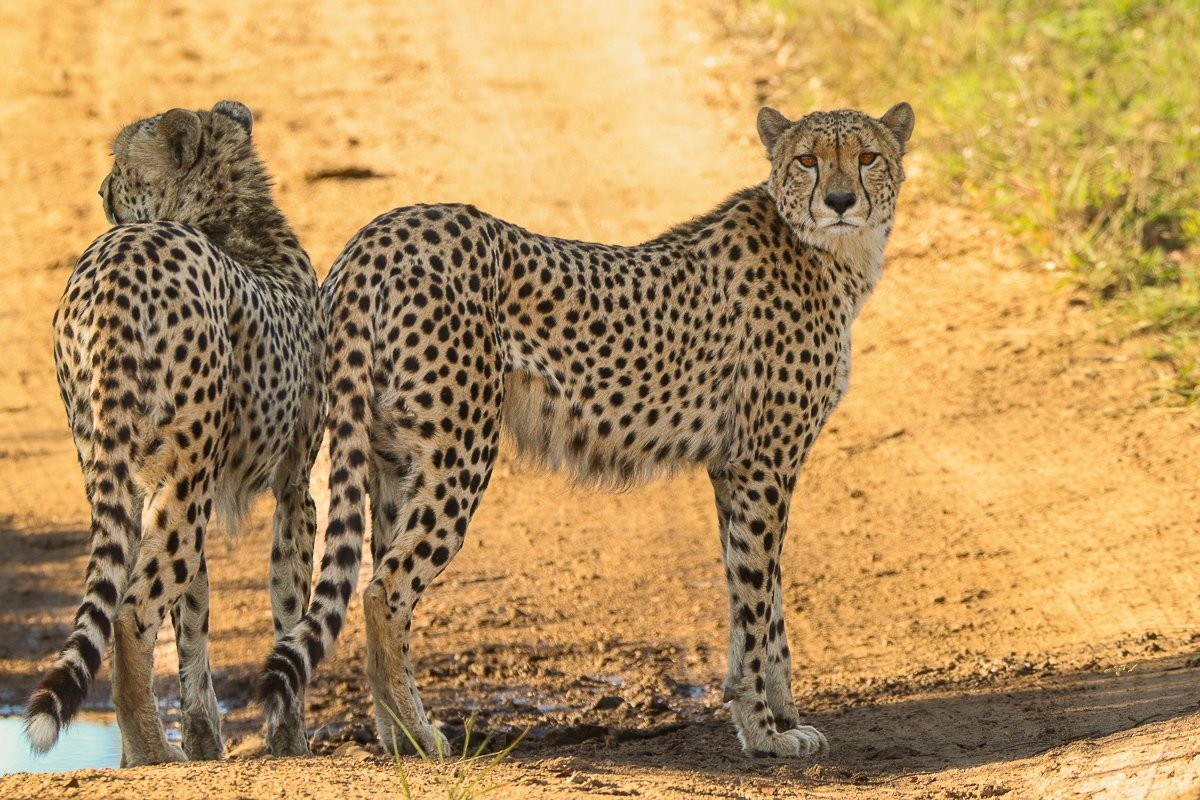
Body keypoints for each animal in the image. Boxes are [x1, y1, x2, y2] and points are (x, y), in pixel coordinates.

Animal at [24, 100, 326, 766]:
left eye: (120, 163)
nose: (101, 189)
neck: (225, 218)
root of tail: (119, 259)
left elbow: (194, 620)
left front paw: (206, 738)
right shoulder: (293, 486)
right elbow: (287, 601)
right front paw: (289, 738)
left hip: (115, 465)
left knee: (123, 594)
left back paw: (140, 750)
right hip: (185, 479)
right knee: (132, 611)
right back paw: (149, 753)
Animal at [260, 102, 914, 757]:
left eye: (867, 157)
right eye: (807, 159)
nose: (838, 200)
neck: (831, 252)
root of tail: (384, 230)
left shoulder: (735, 470)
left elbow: (759, 598)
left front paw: (781, 715)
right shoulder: (762, 464)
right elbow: (756, 602)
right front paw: (763, 733)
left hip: (389, 458)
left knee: (371, 574)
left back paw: (396, 737)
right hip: (459, 452)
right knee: (384, 590)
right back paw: (423, 736)